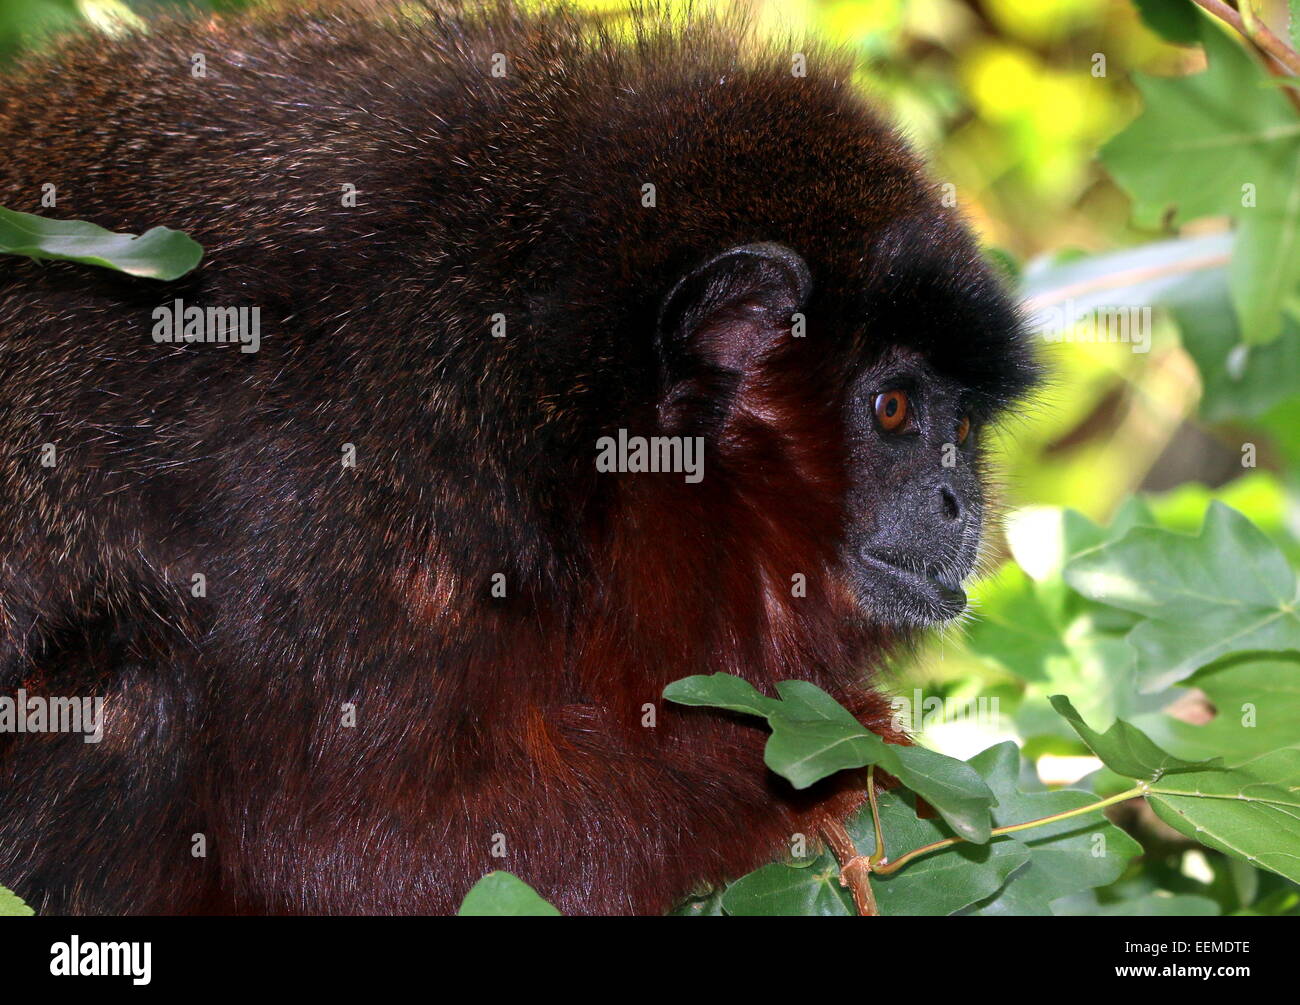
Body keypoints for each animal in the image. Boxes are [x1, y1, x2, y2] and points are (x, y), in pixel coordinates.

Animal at [0, 1, 1038, 915]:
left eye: (963, 430)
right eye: (894, 410)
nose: (960, 501)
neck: (559, 442)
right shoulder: (336, 524)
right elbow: (341, 847)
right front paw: (820, 764)